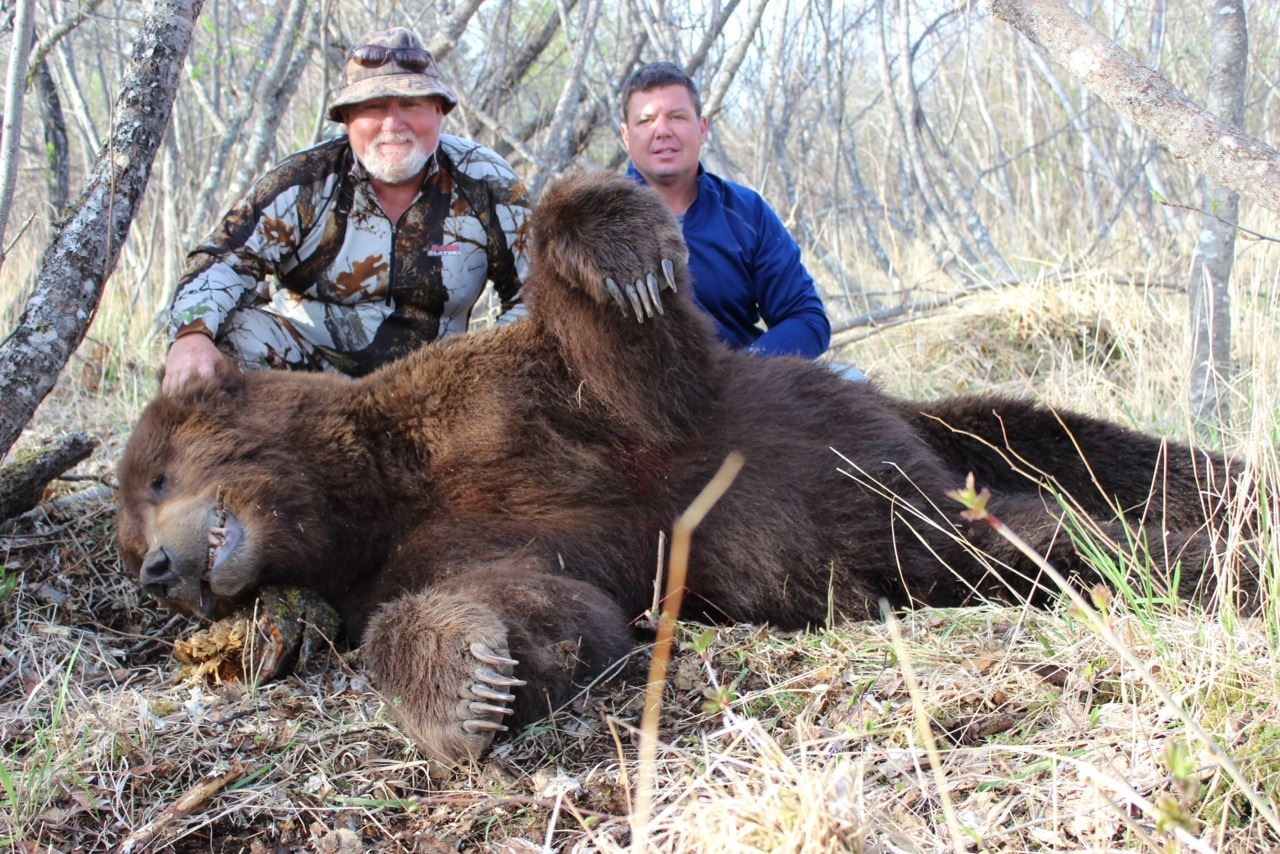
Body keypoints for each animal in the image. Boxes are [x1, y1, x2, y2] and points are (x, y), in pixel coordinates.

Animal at [116, 171, 1256, 766]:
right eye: (129, 529)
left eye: (156, 477)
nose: (159, 572)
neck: (378, 489)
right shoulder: (438, 549)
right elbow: (543, 612)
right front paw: (468, 682)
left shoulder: (516, 400)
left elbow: (632, 354)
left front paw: (612, 242)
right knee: (1007, 531)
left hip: (865, 455)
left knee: (1032, 516)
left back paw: (1222, 552)